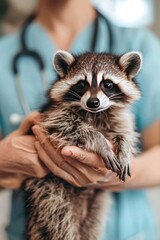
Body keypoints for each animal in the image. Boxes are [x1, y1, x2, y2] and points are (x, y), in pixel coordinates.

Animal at [24, 50, 142, 240]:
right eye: (81, 84)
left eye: (108, 84)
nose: (93, 102)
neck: (94, 113)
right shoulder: (53, 114)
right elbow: (67, 126)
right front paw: (100, 143)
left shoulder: (117, 117)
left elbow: (125, 131)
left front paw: (124, 149)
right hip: (49, 191)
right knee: (58, 220)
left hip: (96, 205)